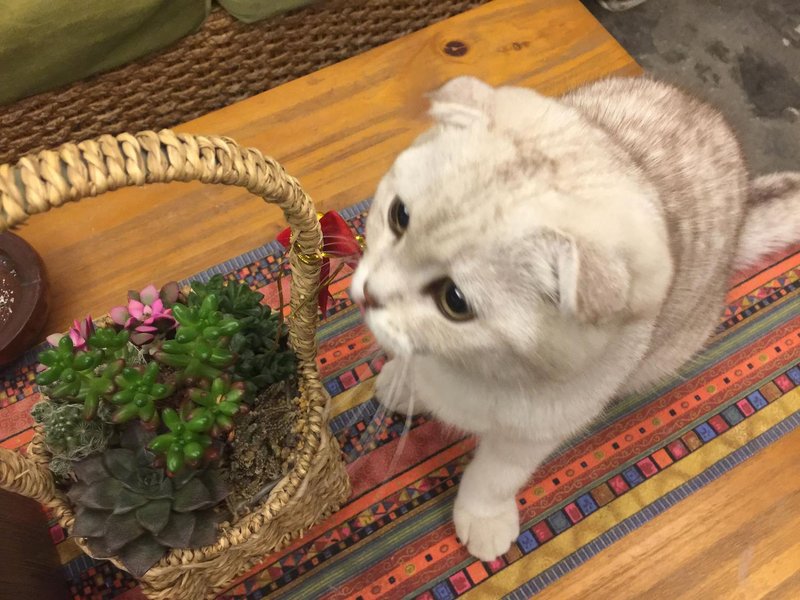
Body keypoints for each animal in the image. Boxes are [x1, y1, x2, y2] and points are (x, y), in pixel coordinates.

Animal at [350, 76, 800, 561]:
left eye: (454, 301)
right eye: (398, 216)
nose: (368, 294)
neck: (469, 365)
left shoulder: (533, 435)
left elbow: (493, 477)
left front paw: (484, 516)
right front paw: (403, 381)